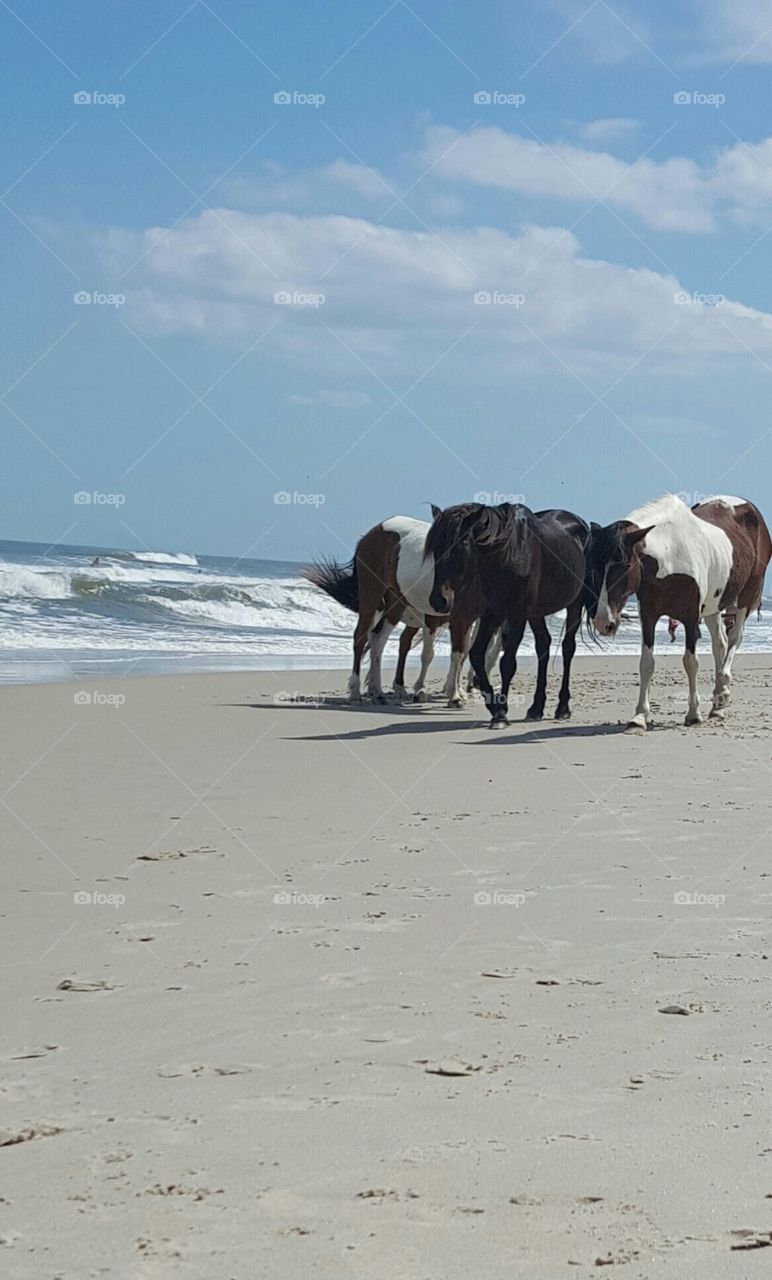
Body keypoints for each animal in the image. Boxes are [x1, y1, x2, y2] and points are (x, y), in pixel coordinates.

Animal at [425, 501, 594, 727]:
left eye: (462, 545)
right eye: (435, 547)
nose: (439, 600)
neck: (508, 554)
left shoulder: (516, 614)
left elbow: (507, 663)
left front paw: (501, 714)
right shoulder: (493, 613)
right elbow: (477, 655)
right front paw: (495, 707)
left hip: (574, 603)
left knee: (568, 648)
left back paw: (562, 708)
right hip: (536, 612)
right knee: (543, 644)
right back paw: (536, 708)